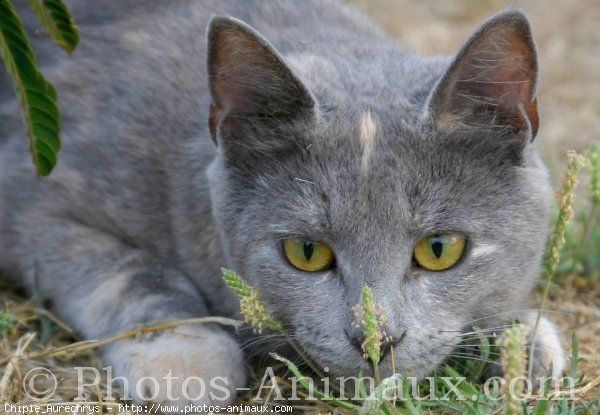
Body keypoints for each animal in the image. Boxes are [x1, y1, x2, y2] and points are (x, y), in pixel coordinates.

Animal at [0, 0, 564, 410]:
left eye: (440, 248)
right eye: (306, 252)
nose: (375, 340)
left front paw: (523, 343)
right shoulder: (35, 196)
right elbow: (131, 271)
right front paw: (186, 357)